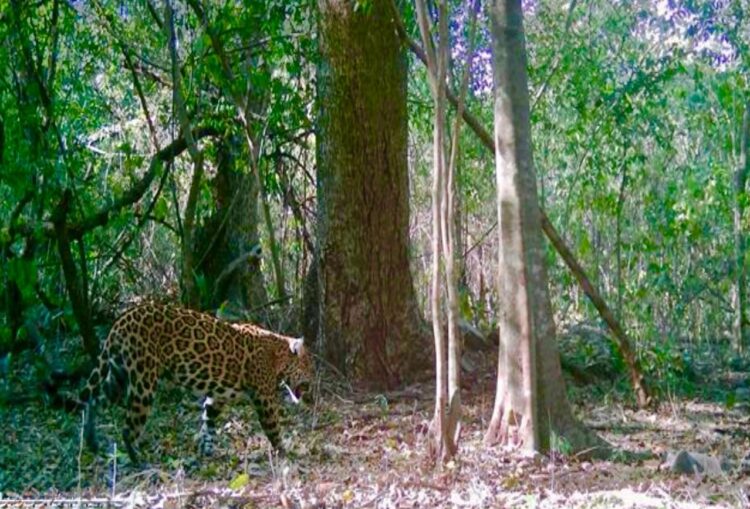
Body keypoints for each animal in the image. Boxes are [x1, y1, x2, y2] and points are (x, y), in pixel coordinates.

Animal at [78, 302, 314, 464]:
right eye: (308, 366)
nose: (312, 386)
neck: (278, 354)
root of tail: (121, 321)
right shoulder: (264, 398)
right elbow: (273, 427)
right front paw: (286, 452)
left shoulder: (217, 397)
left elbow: (208, 422)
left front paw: (206, 451)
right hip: (143, 381)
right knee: (128, 426)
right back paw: (139, 461)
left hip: (118, 374)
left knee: (94, 399)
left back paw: (91, 440)